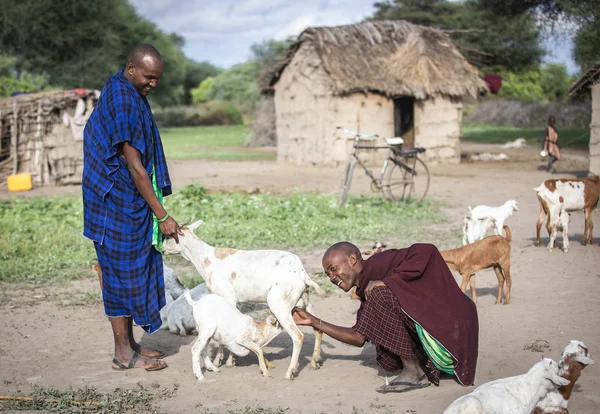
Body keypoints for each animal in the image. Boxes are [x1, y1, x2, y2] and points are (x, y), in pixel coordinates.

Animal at [162, 222, 326, 380]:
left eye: (168, 236)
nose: (161, 249)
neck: (208, 259)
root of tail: (302, 274)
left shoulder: (227, 296)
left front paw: (223, 360)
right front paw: (228, 360)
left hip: (279, 305)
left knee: (298, 336)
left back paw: (289, 372)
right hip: (304, 302)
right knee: (318, 328)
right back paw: (315, 362)